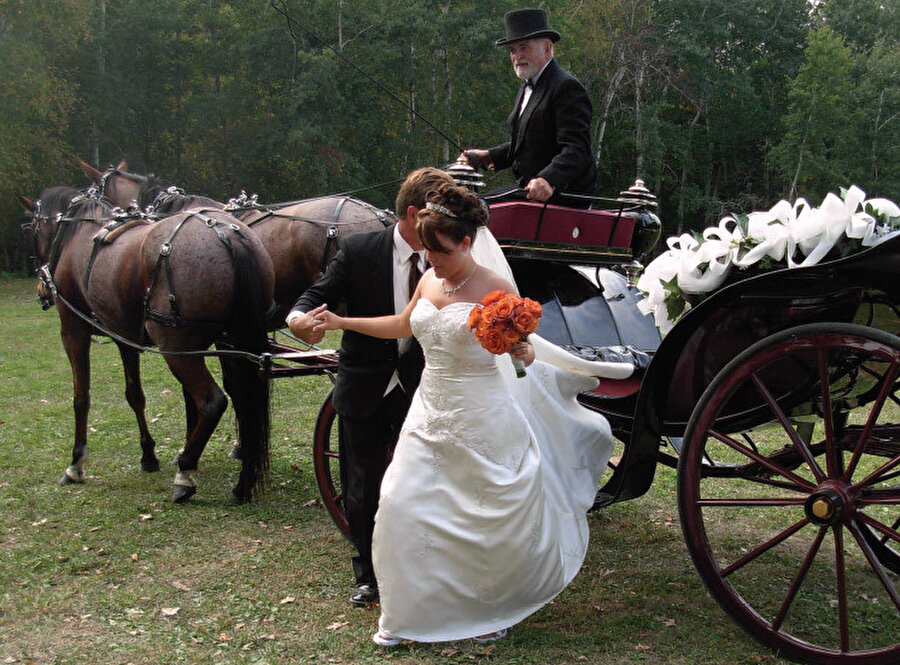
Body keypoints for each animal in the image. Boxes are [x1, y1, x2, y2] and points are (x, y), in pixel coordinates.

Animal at [17, 187, 276, 504]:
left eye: (32, 229)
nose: (41, 289)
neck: (80, 232)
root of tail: (226, 233)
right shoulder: (123, 336)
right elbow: (135, 395)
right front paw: (149, 455)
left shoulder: (73, 330)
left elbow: (81, 398)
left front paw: (76, 463)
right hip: (230, 339)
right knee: (244, 398)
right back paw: (243, 481)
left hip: (178, 349)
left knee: (213, 401)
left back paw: (186, 472)